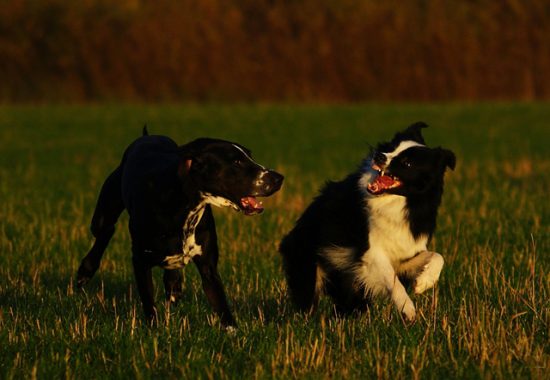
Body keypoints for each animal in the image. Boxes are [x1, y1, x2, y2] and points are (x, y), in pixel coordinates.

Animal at [77, 128, 284, 326]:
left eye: (249, 156)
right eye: (237, 162)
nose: (278, 178)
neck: (184, 204)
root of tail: (147, 136)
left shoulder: (209, 268)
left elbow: (222, 305)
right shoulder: (140, 261)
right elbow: (149, 303)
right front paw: (154, 331)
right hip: (103, 216)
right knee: (105, 232)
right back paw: (85, 271)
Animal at [280, 124, 458, 320]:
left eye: (407, 163)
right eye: (391, 148)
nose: (379, 156)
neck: (396, 203)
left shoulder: (402, 255)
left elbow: (437, 256)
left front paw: (424, 282)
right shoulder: (370, 253)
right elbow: (392, 279)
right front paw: (408, 309)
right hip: (309, 265)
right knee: (308, 300)